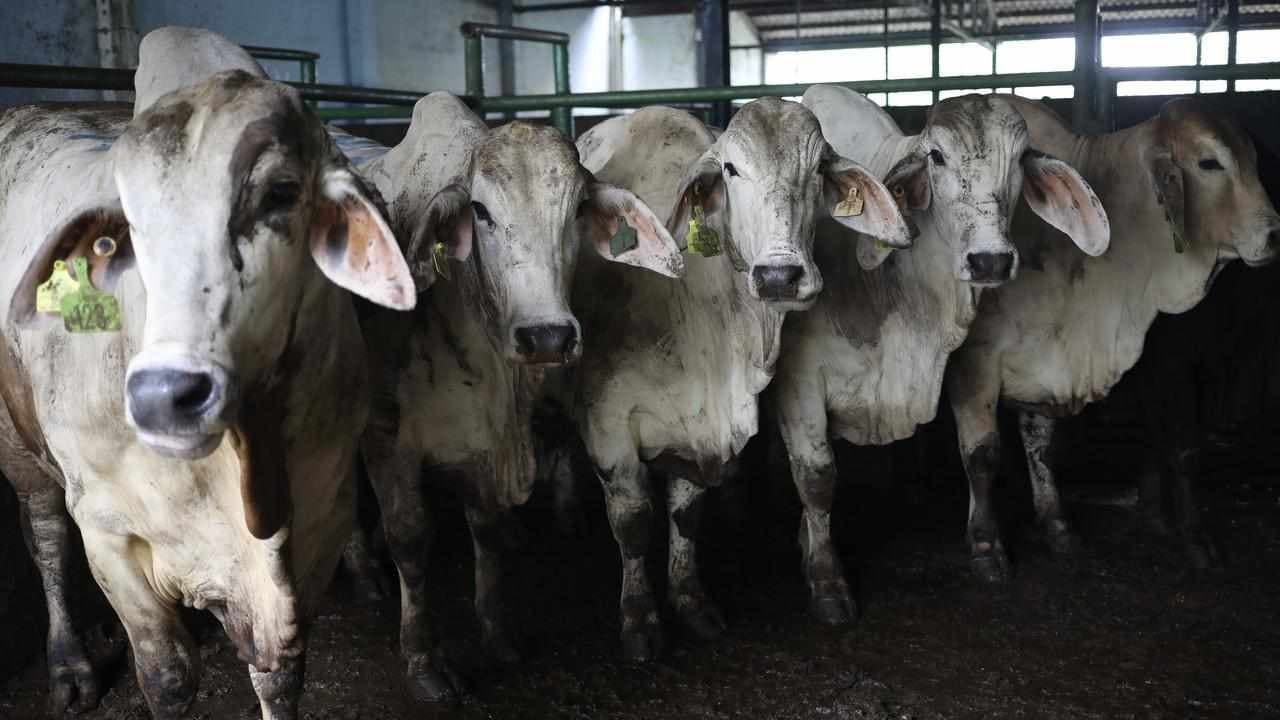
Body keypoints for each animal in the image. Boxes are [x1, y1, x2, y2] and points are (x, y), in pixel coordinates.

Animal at [0, 27, 417, 720]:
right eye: (121, 231)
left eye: (281, 192)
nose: (165, 396)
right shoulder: (109, 534)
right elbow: (166, 677)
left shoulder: (319, 519)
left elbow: (279, 678)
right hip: (18, 449)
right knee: (47, 536)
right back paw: (70, 664)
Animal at [337, 94, 685, 700]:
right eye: (479, 211)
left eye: (577, 208)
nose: (546, 336)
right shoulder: (386, 439)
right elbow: (410, 540)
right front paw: (423, 660)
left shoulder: (487, 440)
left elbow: (488, 532)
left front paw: (497, 633)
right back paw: (362, 568)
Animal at [572, 100, 913, 661]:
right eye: (731, 169)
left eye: (818, 168)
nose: (779, 277)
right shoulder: (607, 426)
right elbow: (632, 523)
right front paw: (640, 621)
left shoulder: (699, 425)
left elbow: (685, 515)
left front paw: (691, 602)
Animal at [773, 85, 1109, 624]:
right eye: (936, 156)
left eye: (1019, 158)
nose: (990, 260)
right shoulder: (798, 385)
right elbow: (817, 480)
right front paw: (826, 581)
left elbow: (982, 452)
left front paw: (988, 548)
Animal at [947, 96, 1280, 582]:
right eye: (1209, 163)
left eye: (1256, 160)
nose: (1274, 234)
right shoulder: (975, 363)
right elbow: (982, 454)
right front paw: (986, 545)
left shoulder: (1050, 361)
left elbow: (1042, 445)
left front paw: (1056, 525)